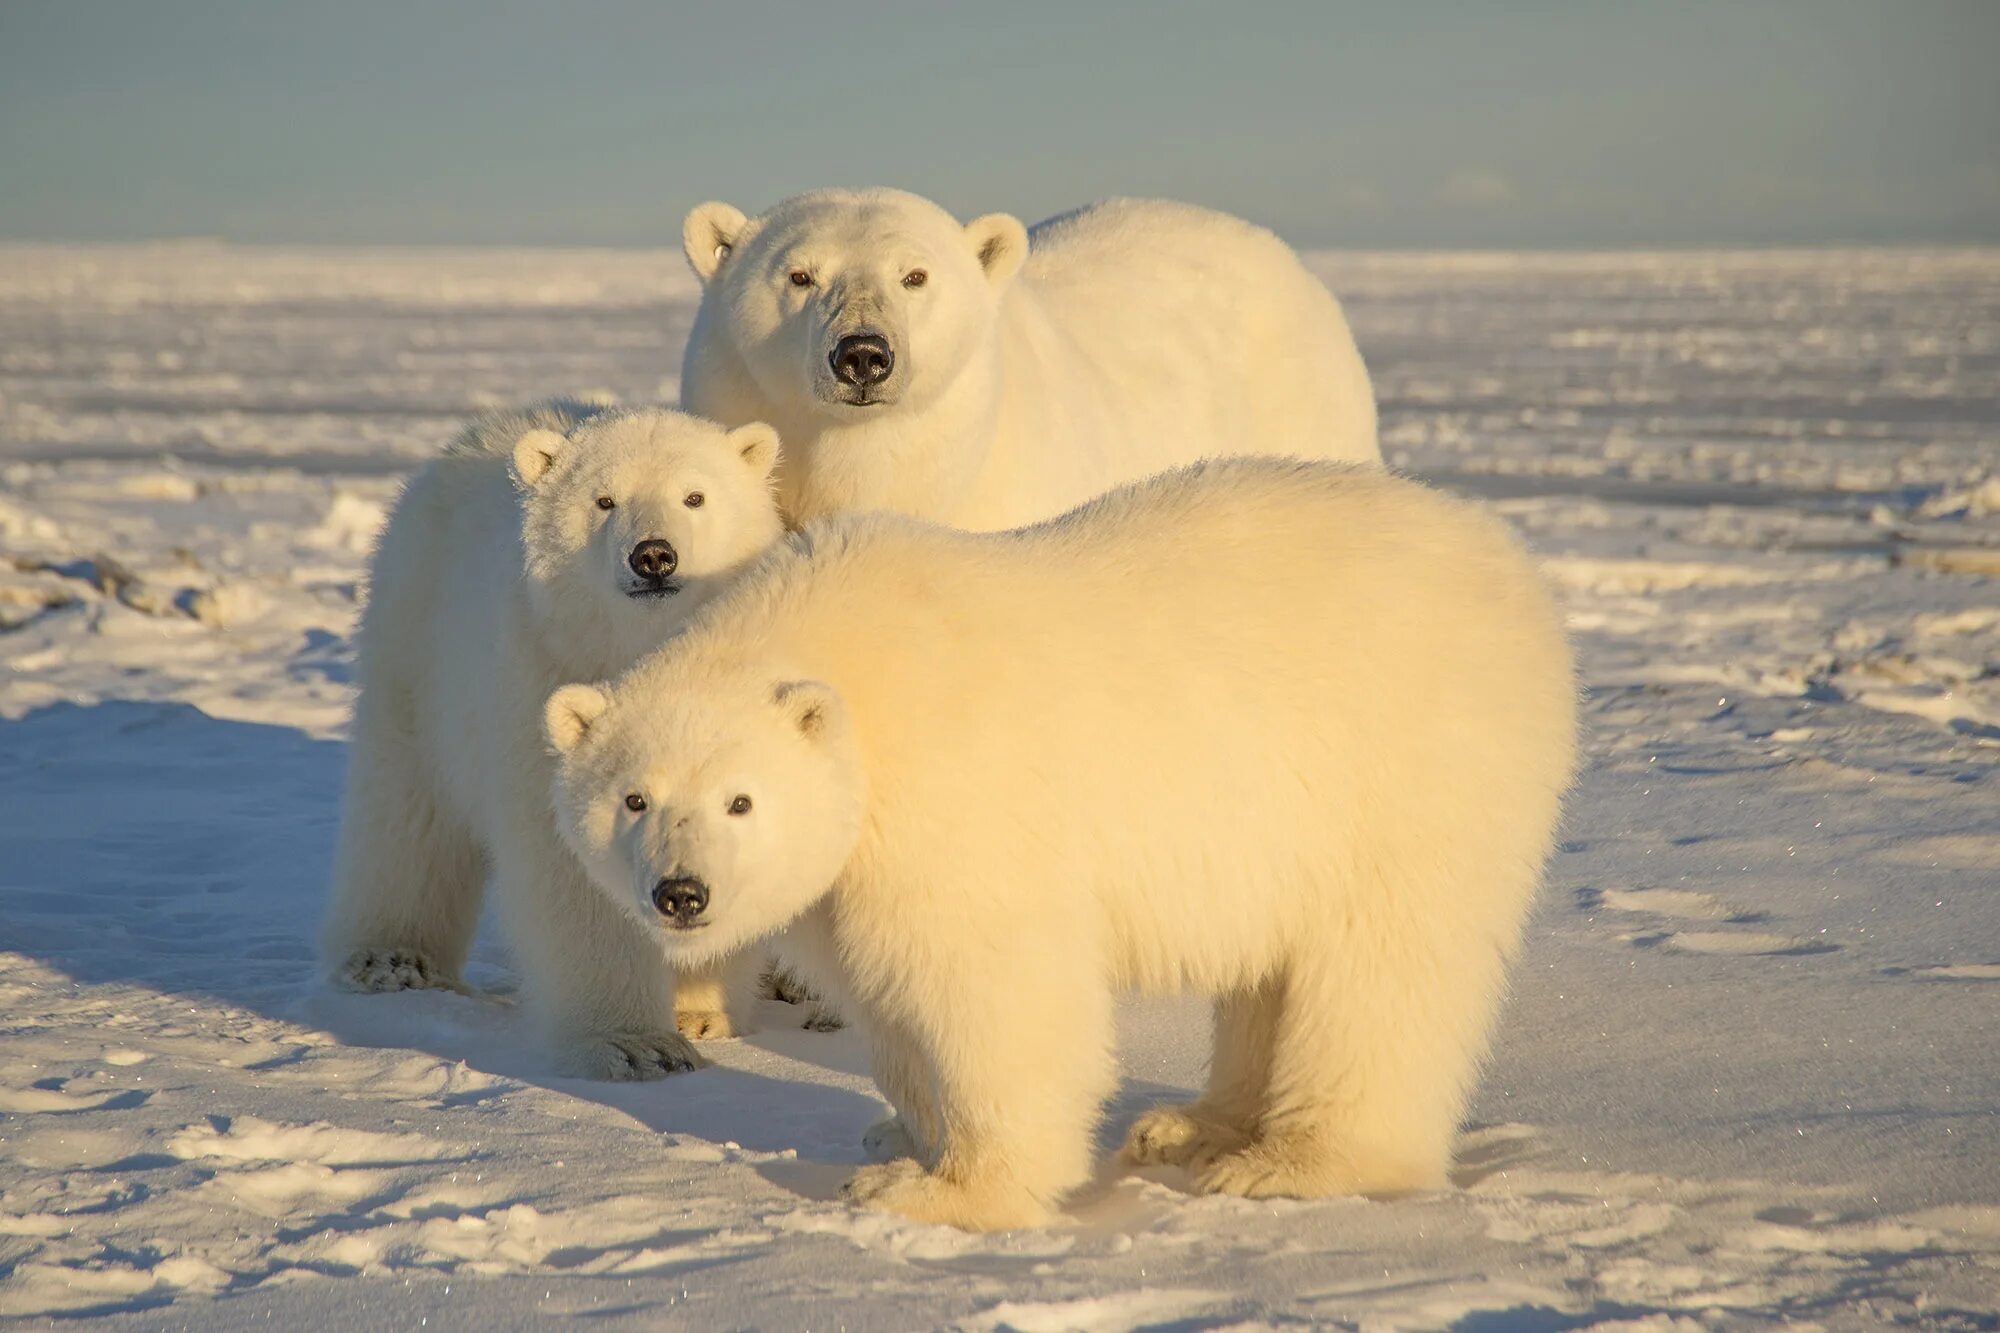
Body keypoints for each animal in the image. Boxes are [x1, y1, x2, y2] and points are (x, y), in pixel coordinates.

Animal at [324, 400, 784, 1072]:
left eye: (695, 496)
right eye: (604, 500)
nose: (654, 556)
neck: (637, 649)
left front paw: (698, 1010)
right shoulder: (548, 681)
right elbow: (575, 867)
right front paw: (632, 1044)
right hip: (418, 648)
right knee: (407, 811)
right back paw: (390, 958)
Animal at [548, 460, 1576, 1224]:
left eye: (742, 801)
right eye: (634, 797)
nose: (681, 893)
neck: (853, 664)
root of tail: (1516, 571)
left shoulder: (955, 797)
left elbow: (994, 988)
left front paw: (940, 1190)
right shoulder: (852, 868)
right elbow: (887, 995)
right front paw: (899, 1135)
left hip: (1408, 765)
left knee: (1381, 967)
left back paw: (1294, 1162)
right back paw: (1195, 1127)